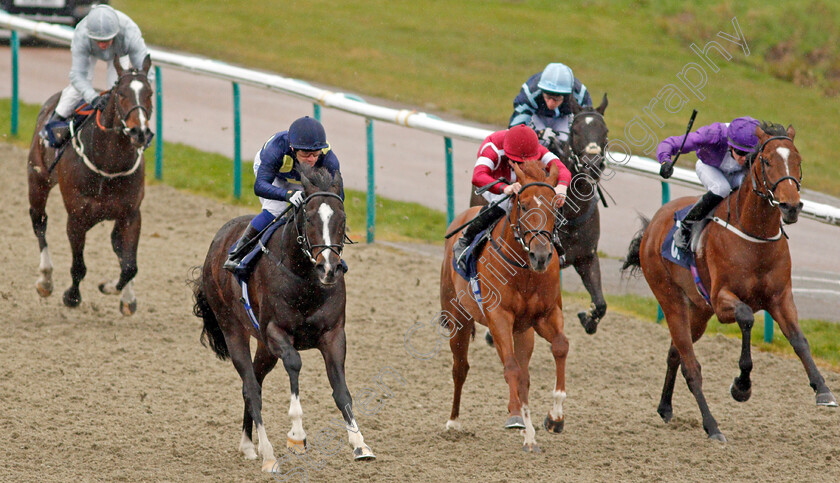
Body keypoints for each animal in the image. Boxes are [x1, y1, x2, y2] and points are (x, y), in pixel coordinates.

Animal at [26, 54, 153, 316]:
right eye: (121, 93)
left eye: (150, 94)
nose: (140, 132)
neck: (109, 165)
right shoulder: (77, 218)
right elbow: (79, 266)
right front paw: (71, 296)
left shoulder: (131, 215)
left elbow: (129, 266)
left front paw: (115, 291)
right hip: (38, 179)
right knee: (39, 222)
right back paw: (45, 280)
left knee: (119, 248)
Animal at [194, 165, 374, 472]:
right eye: (309, 217)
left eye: (342, 218)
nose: (329, 268)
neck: (305, 279)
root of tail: (218, 241)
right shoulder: (275, 332)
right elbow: (294, 363)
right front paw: (297, 435)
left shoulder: (333, 335)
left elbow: (341, 391)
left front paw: (360, 444)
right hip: (233, 329)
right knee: (251, 387)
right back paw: (268, 455)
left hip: (265, 349)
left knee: (253, 383)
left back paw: (248, 445)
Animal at [440, 161, 572, 452]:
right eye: (522, 205)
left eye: (554, 207)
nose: (541, 255)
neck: (524, 270)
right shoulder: (499, 317)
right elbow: (511, 368)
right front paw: (526, 431)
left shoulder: (545, 316)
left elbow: (559, 346)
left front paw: (555, 417)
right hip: (459, 318)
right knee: (461, 368)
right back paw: (454, 422)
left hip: (523, 331)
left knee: (523, 372)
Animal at [620, 122, 836, 442]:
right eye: (767, 161)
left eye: (798, 160)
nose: (791, 206)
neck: (754, 238)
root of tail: (654, 225)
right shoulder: (722, 301)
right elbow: (747, 317)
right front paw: (741, 386)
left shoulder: (780, 297)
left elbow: (799, 340)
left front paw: (823, 390)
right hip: (671, 300)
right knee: (691, 367)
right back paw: (712, 427)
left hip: (698, 311)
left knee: (675, 354)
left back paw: (665, 407)